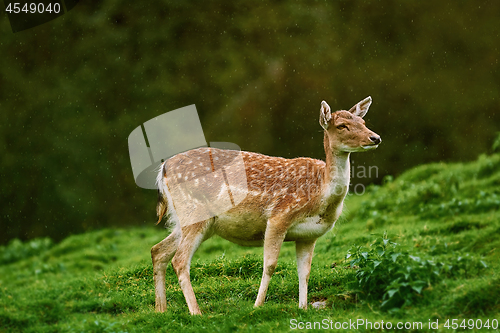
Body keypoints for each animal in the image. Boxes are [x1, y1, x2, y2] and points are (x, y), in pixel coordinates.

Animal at [150, 96, 380, 314]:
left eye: (363, 121)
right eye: (342, 125)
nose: (375, 137)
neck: (320, 195)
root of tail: (163, 169)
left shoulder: (309, 235)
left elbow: (305, 272)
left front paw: (303, 308)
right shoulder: (279, 216)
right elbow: (269, 265)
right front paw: (257, 306)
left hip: (188, 220)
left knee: (158, 250)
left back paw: (161, 310)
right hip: (194, 212)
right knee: (179, 260)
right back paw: (196, 312)